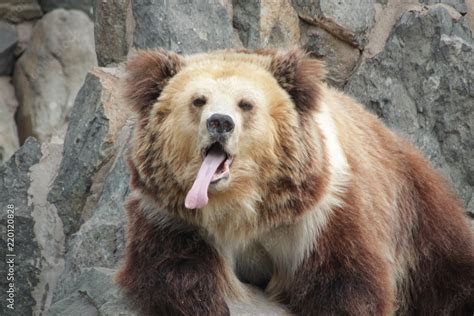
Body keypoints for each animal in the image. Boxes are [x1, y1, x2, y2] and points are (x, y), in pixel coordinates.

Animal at [115, 48, 474, 314]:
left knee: (446, 265)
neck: (240, 205)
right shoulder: (172, 214)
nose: (220, 122)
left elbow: (345, 284)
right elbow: (174, 269)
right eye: (198, 100)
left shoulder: (320, 214)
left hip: (412, 204)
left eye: (246, 104)